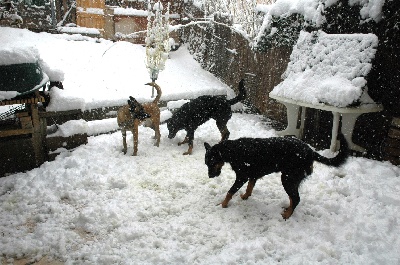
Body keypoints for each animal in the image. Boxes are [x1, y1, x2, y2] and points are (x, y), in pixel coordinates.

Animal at [205, 134, 348, 219]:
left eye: (211, 163)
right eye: (206, 164)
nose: (210, 176)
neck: (233, 150)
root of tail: (311, 152)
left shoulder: (242, 177)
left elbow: (230, 192)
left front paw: (223, 204)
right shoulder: (253, 176)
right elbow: (249, 188)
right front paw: (245, 196)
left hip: (287, 178)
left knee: (296, 198)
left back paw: (287, 215)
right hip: (290, 179)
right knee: (293, 198)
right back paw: (288, 209)